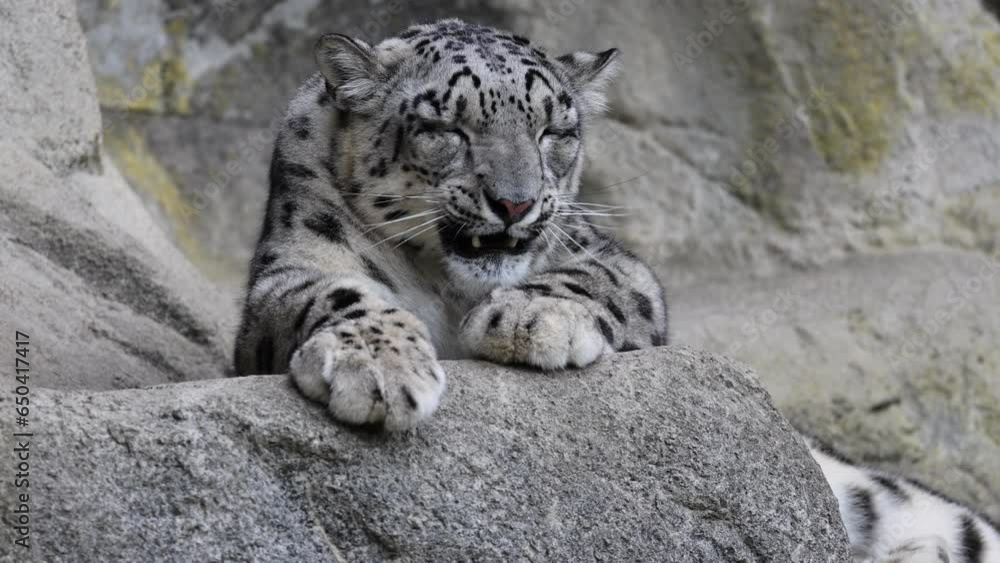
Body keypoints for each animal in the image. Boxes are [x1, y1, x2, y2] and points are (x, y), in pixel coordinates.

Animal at [233, 18, 998, 563]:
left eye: (554, 130)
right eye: (444, 127)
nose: (515, 203)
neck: (446, 287)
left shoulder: (615, 260)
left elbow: (594, 276)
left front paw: (529, 317)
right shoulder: (286, 272)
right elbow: (332, 293)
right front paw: (379, 367)